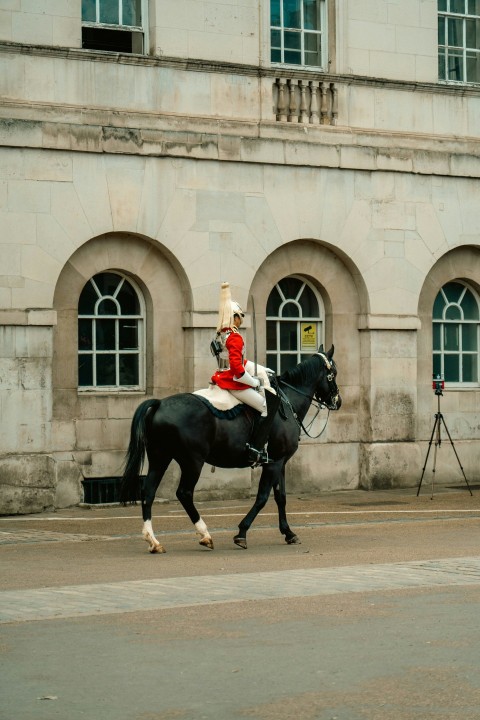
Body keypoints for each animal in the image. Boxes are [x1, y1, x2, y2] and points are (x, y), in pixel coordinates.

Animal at [120, 344, 342, 552]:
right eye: (334, 372)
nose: (338, 402)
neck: (287, 405)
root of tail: (160, 404)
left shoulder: (279, 462)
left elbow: (281, 497)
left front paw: (288, 533)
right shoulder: (274, 463)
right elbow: (262, 498)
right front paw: (242, 533)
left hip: (160, 458)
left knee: (148, 491)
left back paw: (153, 541)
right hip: (192, 461)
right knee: (184, 493)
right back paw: (204, 535)